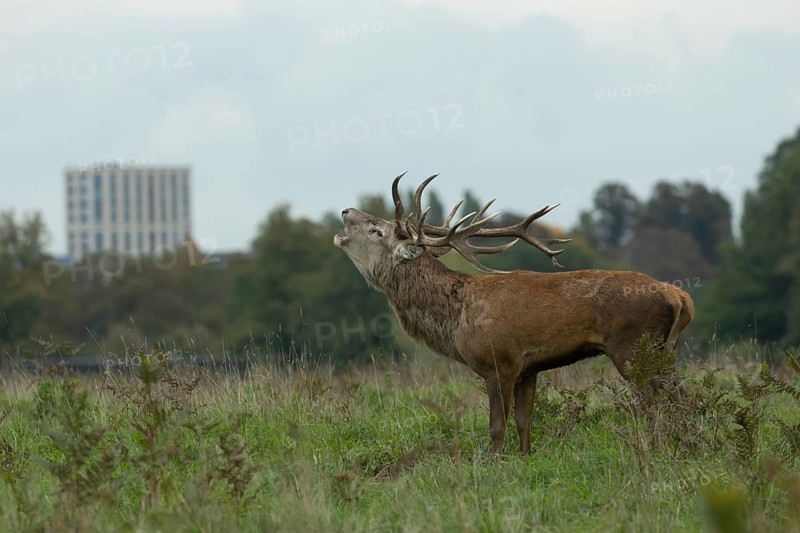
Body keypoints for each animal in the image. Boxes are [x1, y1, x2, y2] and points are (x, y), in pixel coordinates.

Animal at [334, 173, 694, 455]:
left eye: (378, 231)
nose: (346, 210)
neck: (456, 317)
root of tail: (680, 296)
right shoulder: (527, 369)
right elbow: (523, 422)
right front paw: (524, 458)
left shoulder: (500, 361)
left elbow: (497, 426)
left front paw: (493, 463)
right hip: (664, 351)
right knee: (679, 397)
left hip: (633, 347)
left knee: (657, 403)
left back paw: (661, 447)